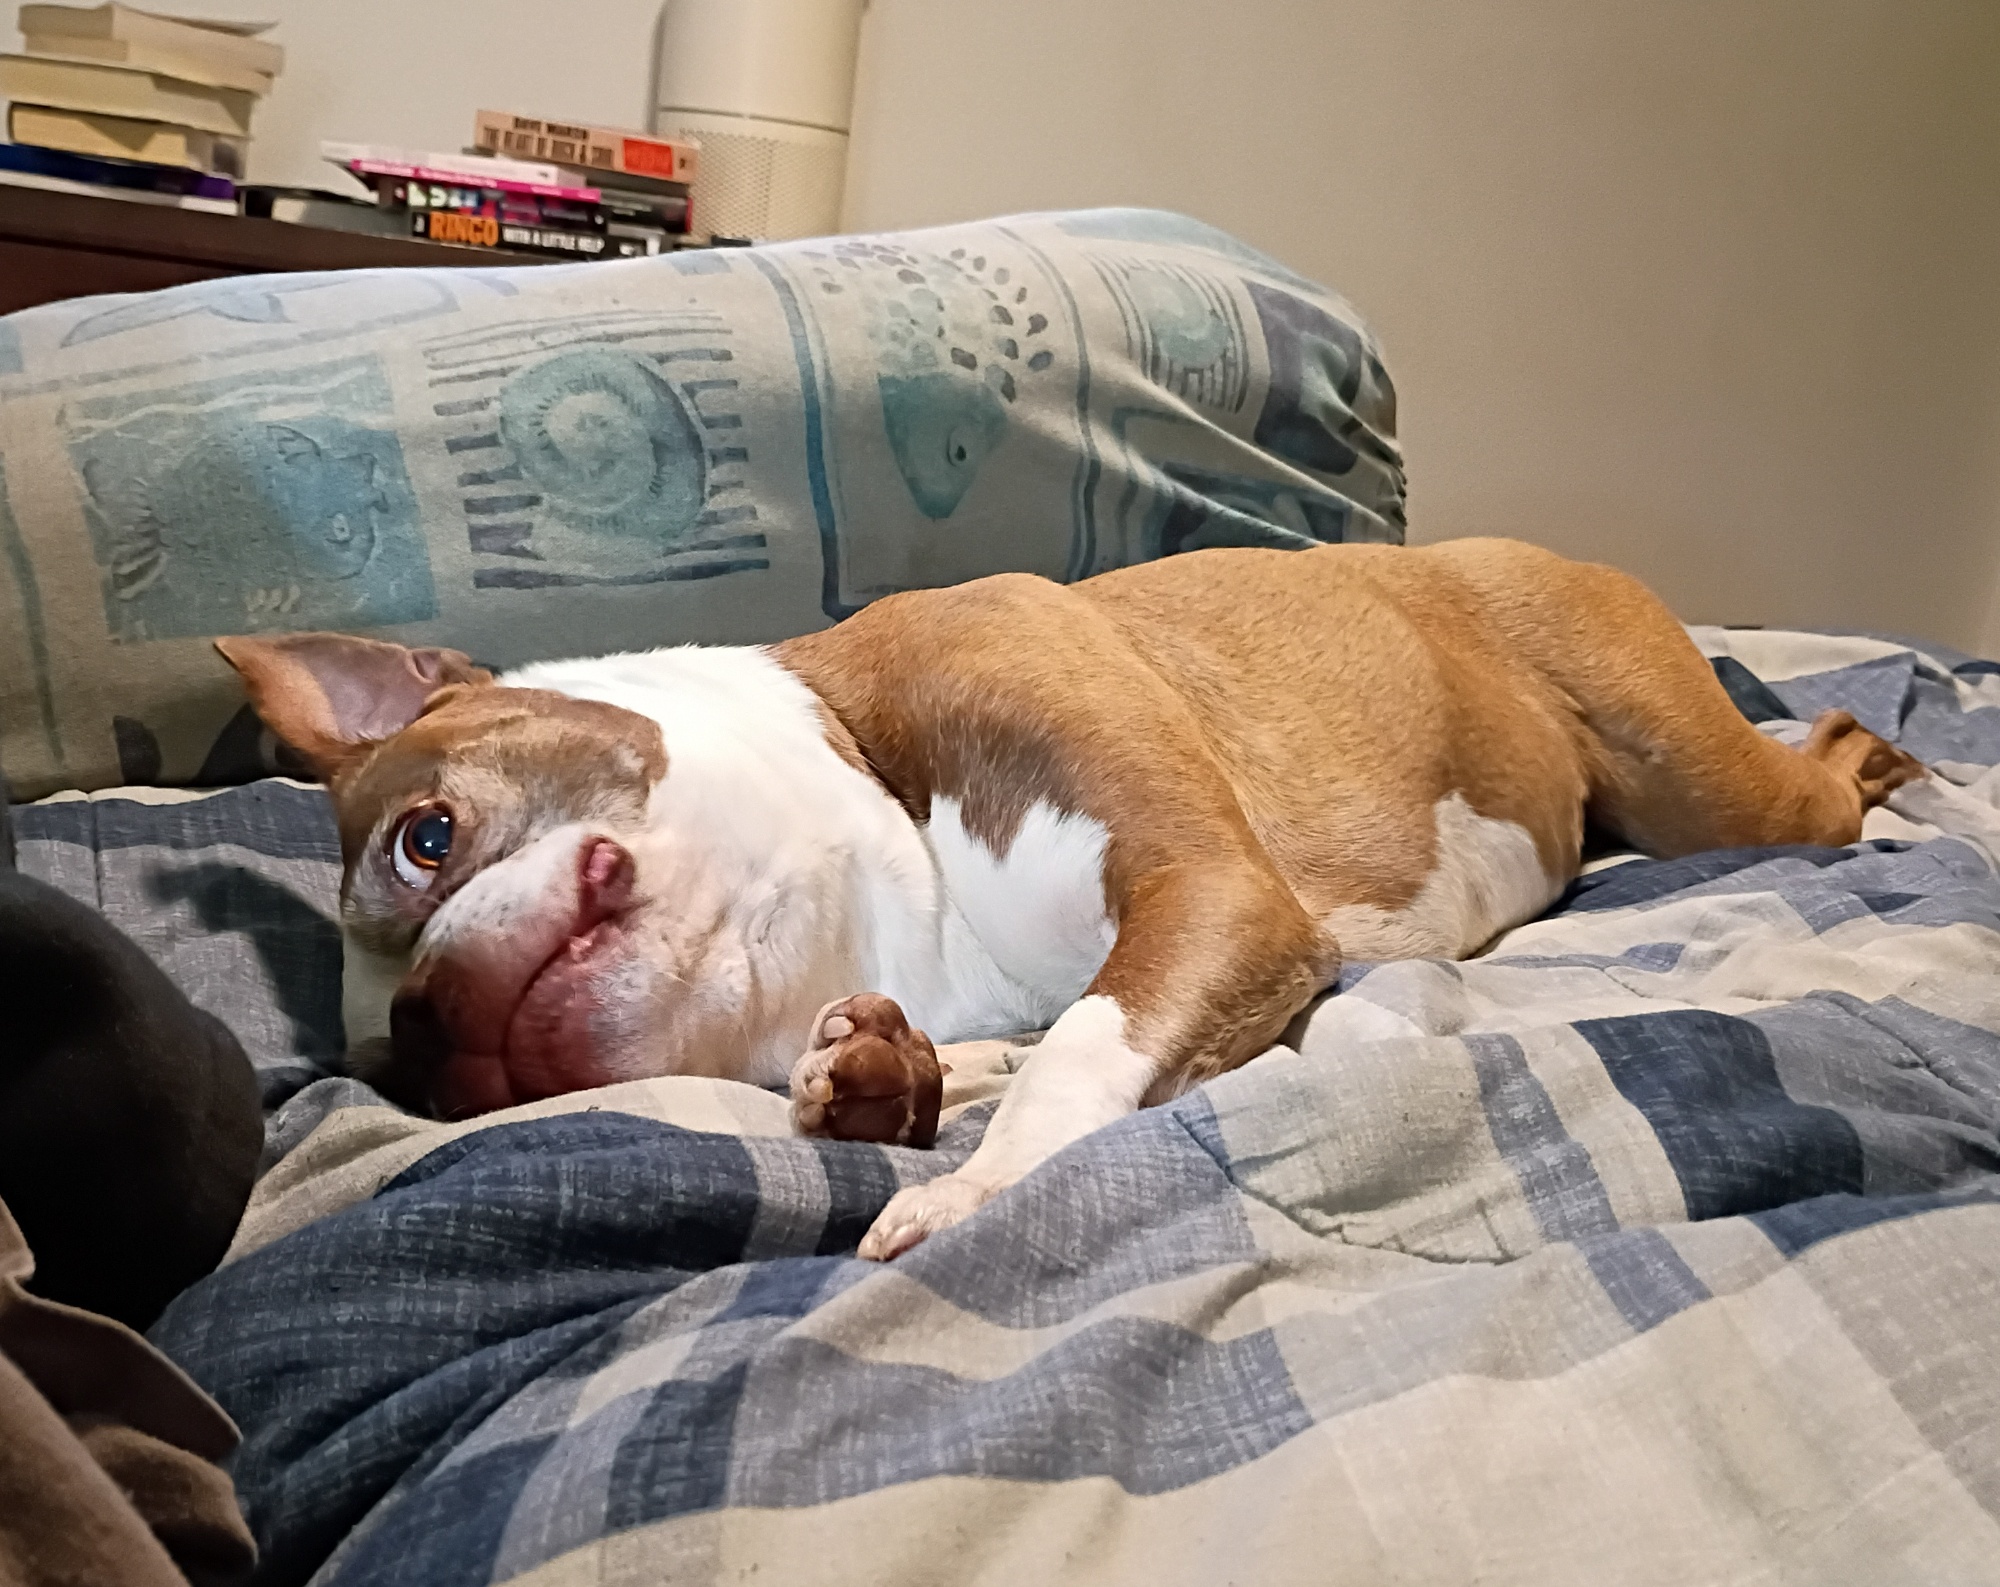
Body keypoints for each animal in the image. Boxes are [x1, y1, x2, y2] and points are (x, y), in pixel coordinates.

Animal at [217, 538, 1924, 1260]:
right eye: (390, 1073)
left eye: (425, 837)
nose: (428, 1030)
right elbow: (1023, 1052)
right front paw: (882, 1081)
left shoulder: (1214, 895)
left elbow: (1081, 1061)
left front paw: (967, 1188)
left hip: (1696, 774)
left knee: (1815, 768)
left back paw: (1888, 747)